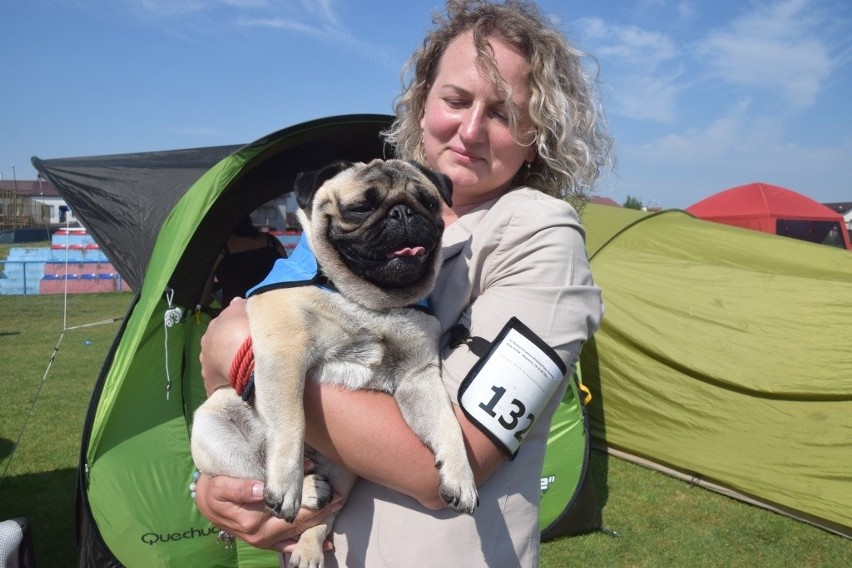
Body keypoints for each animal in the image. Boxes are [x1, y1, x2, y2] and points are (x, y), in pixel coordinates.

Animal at [191, 160, 480, 568]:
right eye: (359, 207)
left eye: (427, 202)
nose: (403, 212)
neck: (371, 304)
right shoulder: (284, 351)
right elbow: (291, 419)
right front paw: (288, 485)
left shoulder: (419, 378)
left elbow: (447, 424)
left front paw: (461, 476)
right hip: (214, 434)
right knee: (256, 476)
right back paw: (306, 487)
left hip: (343, 472)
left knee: (321, 518)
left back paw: (309, 545)